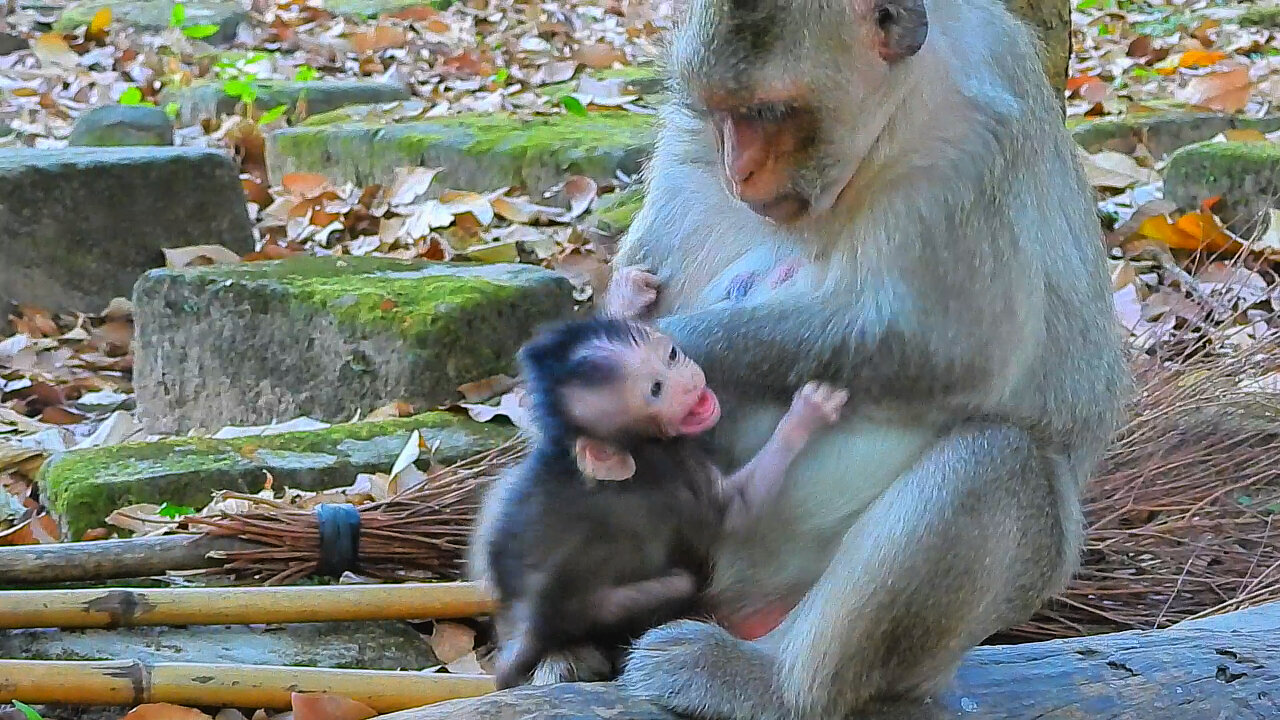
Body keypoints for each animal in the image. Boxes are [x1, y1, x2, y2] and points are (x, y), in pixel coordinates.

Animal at [476, 269, 844, 681]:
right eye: (656, 389)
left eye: (671, 355)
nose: (691, 384)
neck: (641, 445)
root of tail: (531, 629)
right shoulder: (676, 469)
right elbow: (736, 512)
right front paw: (806, 415)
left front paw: (628, 295)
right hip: (600, 606)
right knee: (675, 585)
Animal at [601, 0, 1131, 712]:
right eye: (723, 114)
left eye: (770, 112)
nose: (738, 170)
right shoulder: (690, 141)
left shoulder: (971, 139)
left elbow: (951, 347)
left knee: (997, 461)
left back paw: (777, 683)